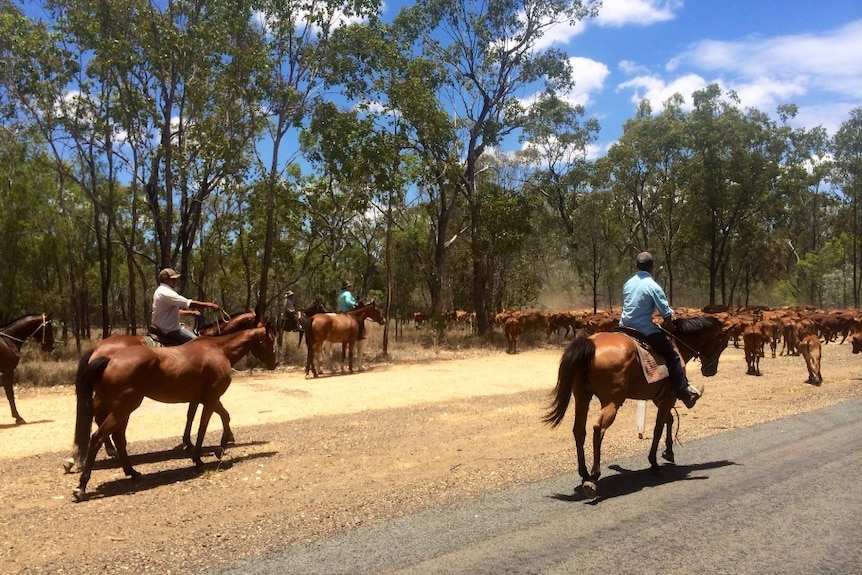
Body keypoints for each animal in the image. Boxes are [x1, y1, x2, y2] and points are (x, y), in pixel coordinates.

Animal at [74, 326, 278, 502]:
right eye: (271, 339)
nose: (275, 363)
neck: (219, 350)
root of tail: (109, 358)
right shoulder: (211, 398)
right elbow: (203, 427)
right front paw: (200, 458)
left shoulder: (204, 398)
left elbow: (217, 416)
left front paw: (221, 444)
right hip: (122, 408)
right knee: (98, 437)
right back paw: (82, 486)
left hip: (111, 406)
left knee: (114, 436)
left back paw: (131, 472)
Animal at [548, 316, 728, 500]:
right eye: (722, 343)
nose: (711, 370)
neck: (677, 343)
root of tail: (590, 344)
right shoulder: (668, 398)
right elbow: (658, 428)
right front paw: (654, 463)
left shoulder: (659, 398)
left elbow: (668, 420)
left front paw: (668, 452)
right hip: (612, 401)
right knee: (598, 429)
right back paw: (593, 478)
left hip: (582, 396)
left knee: (579, 430)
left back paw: (584, 474)